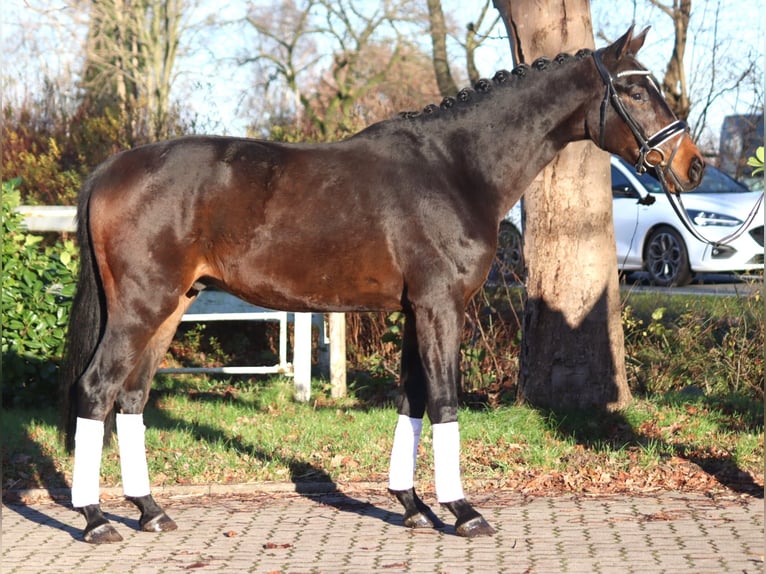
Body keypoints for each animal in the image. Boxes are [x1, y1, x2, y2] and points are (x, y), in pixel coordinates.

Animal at [63, 27, 704, 548]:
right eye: (637, 92)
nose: (693, 166)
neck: (455, 168)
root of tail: (111, 169)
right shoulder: (441, 307)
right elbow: (443, 400)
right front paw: (462, 511)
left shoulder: (415, 310)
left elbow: (412, 398)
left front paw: (413, 505)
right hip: (141, 307)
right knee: (97, 389)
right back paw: (94, 520)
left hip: (172, 307)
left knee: (131, 396)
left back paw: (149, 511)